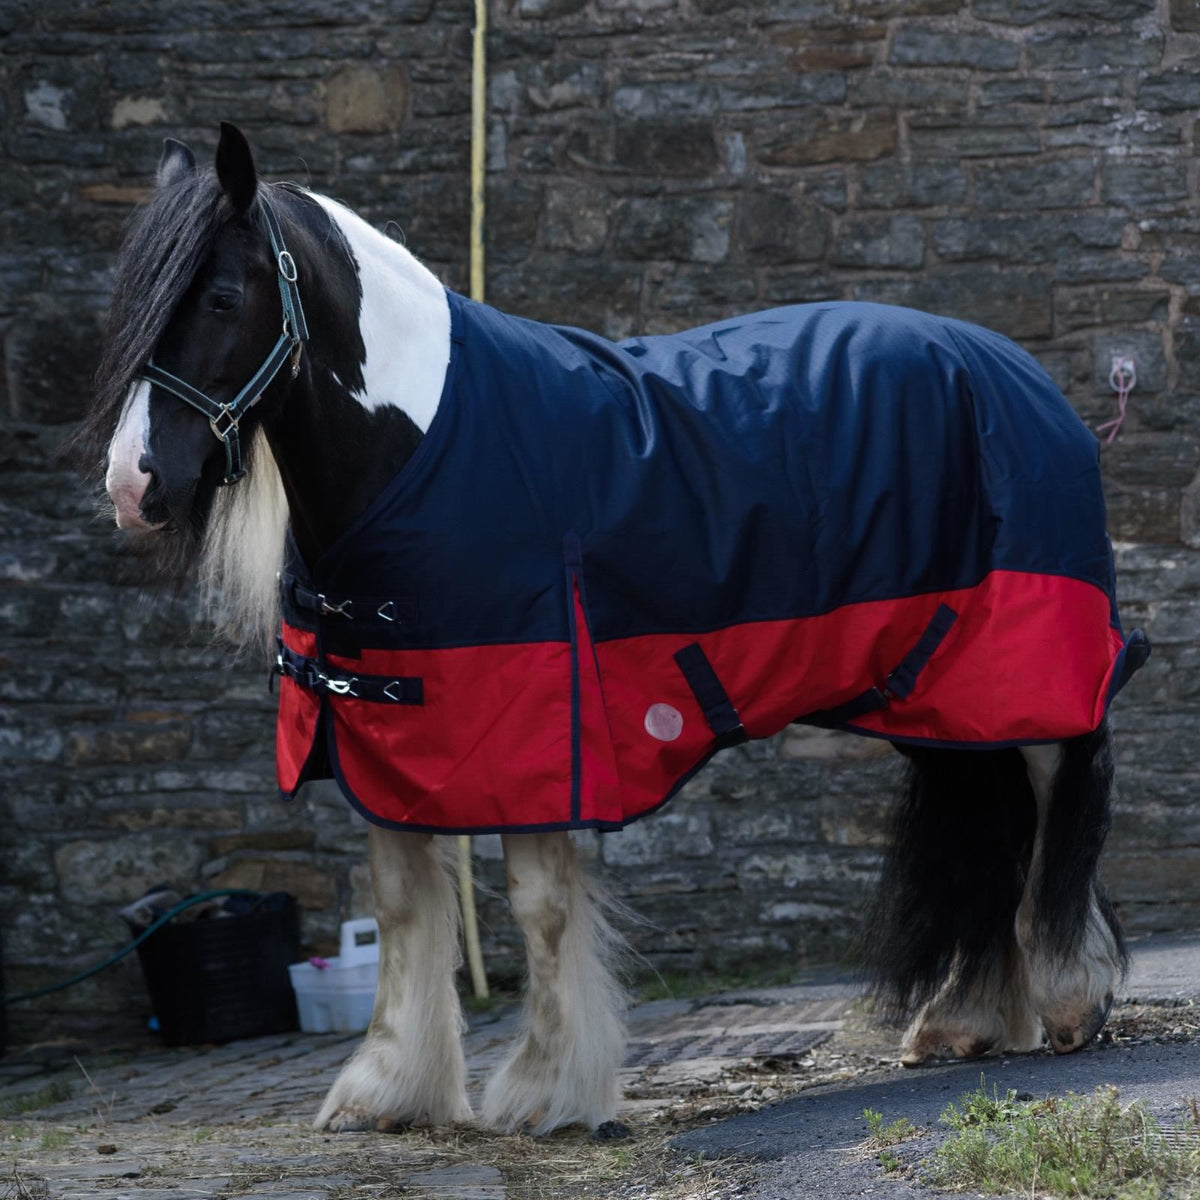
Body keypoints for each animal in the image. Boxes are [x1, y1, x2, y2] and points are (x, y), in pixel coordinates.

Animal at [77, 122, 1148, 1135]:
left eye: (222, 298)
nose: (134, 485)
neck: (421, 445)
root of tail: (1019, 372)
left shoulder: (544, 725)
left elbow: (542, 907)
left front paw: (549, 1094)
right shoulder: (386, 727)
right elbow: (404, 900)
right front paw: (389, 1091)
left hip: (1017, 669)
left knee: (1056, 789)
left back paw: (1069, 1001)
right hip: (929, 697)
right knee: (988, 820)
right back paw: (966, 1021)